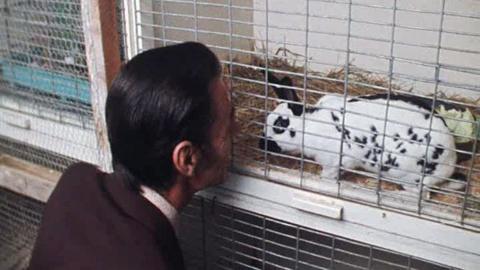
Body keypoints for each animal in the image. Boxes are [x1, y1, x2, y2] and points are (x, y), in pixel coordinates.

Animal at [258, 71, 464, 190]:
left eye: (279, 126)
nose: (261, 144)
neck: (309, 126)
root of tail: (451, 161)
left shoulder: (336, 161)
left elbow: (329, 174)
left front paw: (324, 182)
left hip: (409, 178)